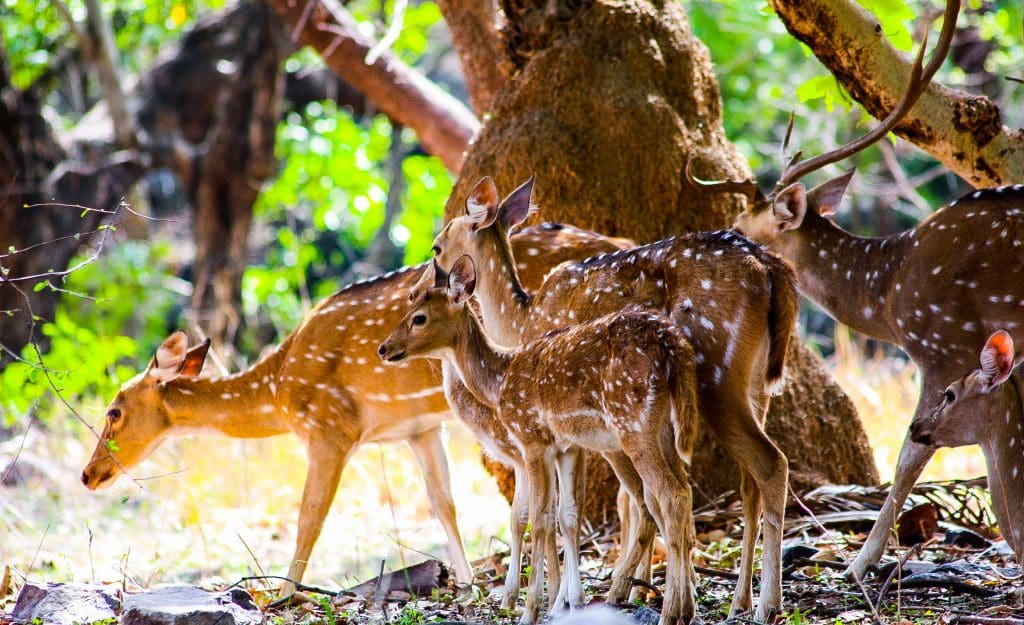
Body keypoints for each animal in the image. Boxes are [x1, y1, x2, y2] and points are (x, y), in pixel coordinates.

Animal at [77, 221, 630, 594]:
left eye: (113, 410)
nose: (88, 474)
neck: (280, 387)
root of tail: (621, 244)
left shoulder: (331, 428)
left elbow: (309, 516)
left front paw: (281, 596)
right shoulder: (416, 429)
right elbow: (443, 503)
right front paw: (468, 583)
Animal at [378, 254, 704, 622]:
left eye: (419, 317)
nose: (384, 348)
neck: (499, 382)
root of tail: (672, 344)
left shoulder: (532, 439)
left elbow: (538, 519)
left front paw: (531, 609)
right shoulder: (565, 447)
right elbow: (565, 516)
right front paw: (569, 602)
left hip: (633, 422)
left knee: (668, 496)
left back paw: (668, 611)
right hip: (664, 425)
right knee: (680, 490)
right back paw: (685, 606)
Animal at [432, 174, 798, 618]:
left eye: (437, 245)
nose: (431, 277)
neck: (520, 322)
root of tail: (772, 268)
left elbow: (564, 512)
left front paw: (560, 599)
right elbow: (622, 504)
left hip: (716, 374)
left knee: (768, 464)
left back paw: (765, 605)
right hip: (757, 384)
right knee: (748, 482)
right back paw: (738, 600)